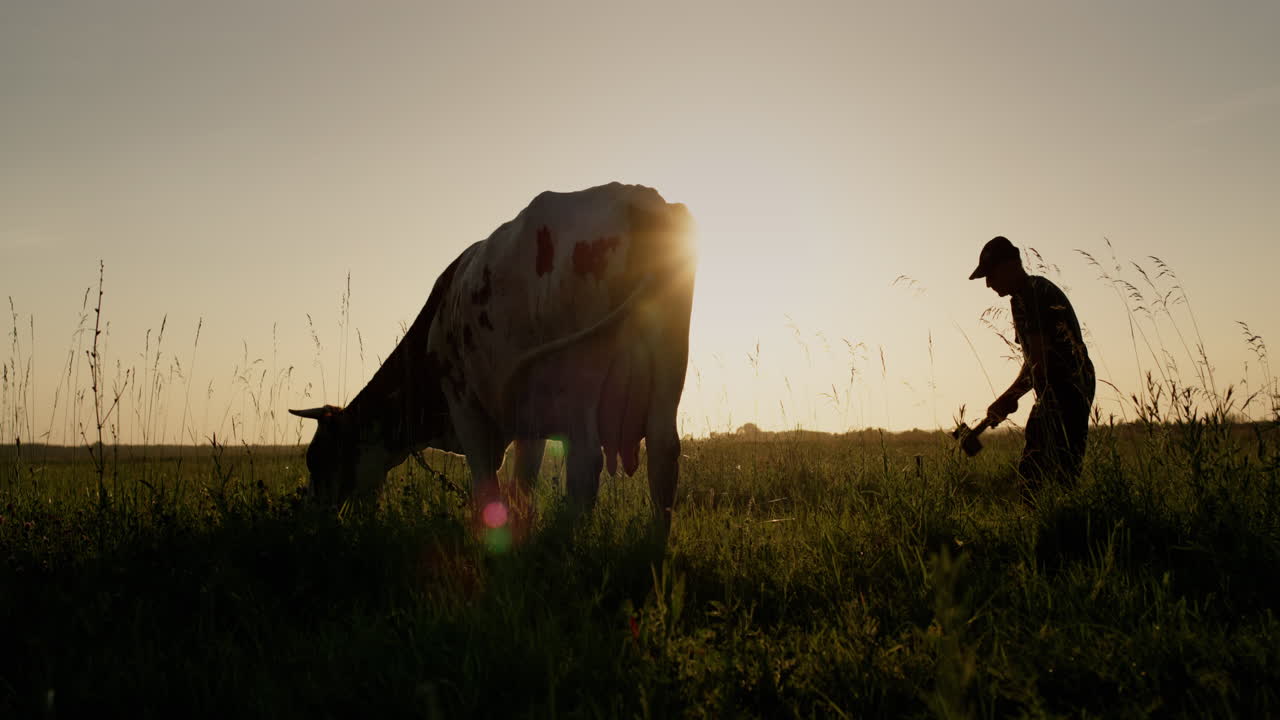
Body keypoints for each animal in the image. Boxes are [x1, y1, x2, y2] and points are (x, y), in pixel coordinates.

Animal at [290, 182, 696, 534]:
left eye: (319, 458)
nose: (315, 517)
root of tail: (635, 200)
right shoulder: (528, 421)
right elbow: (522, 483)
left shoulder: (464, 401)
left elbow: (486, 484)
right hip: (667, 366)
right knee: (664, 450)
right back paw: (653, 544)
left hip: (582, 375)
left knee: (586, 461)